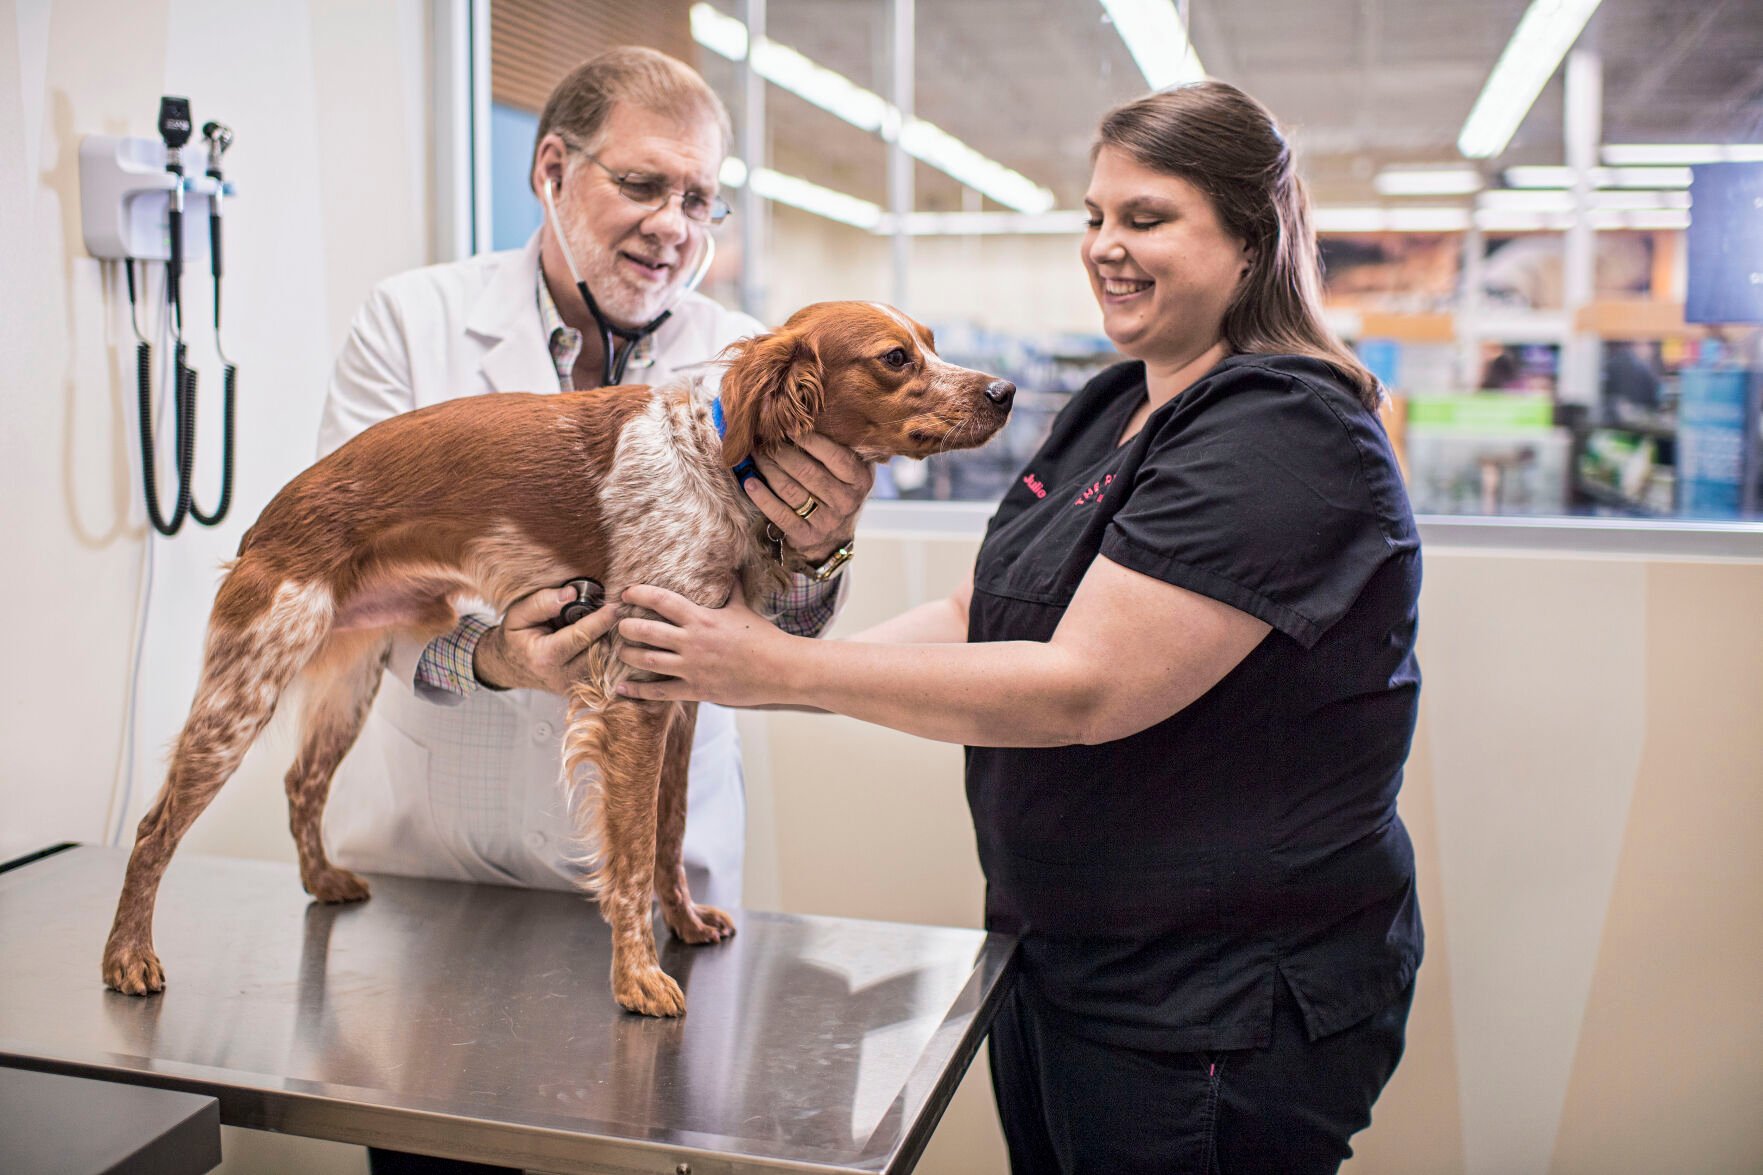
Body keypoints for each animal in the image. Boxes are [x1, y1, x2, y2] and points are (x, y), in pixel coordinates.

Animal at [103, 301, 1015, 1016]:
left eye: (933, 340)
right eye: (895, 358)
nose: (1005, 392)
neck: (713, 466)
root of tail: (270, 516)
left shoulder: (680, 694)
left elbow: (668, 837)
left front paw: (684, 924)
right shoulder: (632, 698)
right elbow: (628, 856)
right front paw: (637, 978)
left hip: (348, 679)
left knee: (301, 783)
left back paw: (324, 878)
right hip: (246, 685)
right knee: (154, 827)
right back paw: (128, 956)